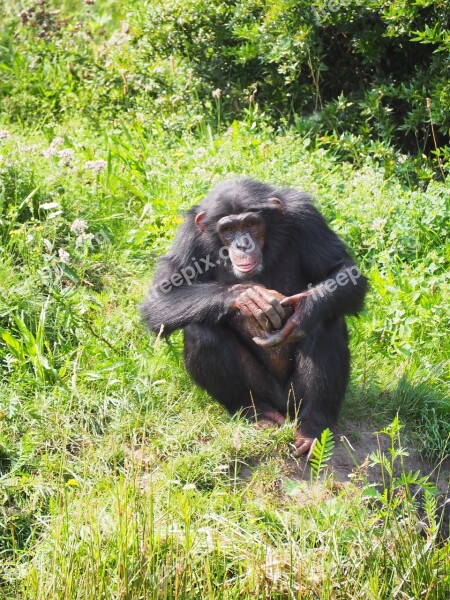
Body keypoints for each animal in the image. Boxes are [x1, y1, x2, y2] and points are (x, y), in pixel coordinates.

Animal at [142, 177, 370, 454]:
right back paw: (256, 412)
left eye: (251, 224)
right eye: (229, 229)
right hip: (263, 391)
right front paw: (246, 296)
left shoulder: (307, 217)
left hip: (295, 397)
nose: (242, 244)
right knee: (201, 332)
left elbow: (343, 271)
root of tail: (282, 407)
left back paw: (312, 426)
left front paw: (304, 310)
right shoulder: (189, 236)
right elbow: (161, 296)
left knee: (326, 323)